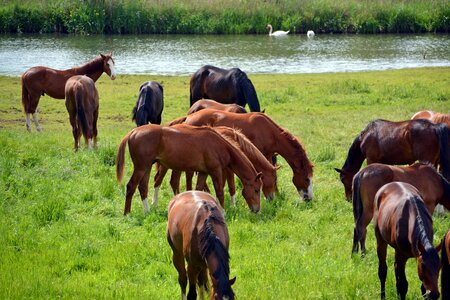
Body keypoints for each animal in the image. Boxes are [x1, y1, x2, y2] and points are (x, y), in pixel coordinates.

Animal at [115, 123, 264, 214]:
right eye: (257, 190)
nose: (257, 209)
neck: (219, 145)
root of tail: (134, 132)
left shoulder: (204, 173)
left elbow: (198, 189)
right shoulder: (215, 171)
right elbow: (220, 192)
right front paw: (223, 212)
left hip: (146, 168)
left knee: (143, 187)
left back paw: (147, 211)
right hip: (141, 168)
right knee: (131, 186)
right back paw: (127, 213)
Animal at [171, 108, 314, 202]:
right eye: (307, 179)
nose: (309, 198)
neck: (269, 132)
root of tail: (188, 117)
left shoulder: (268, 155)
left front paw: (277, 195)